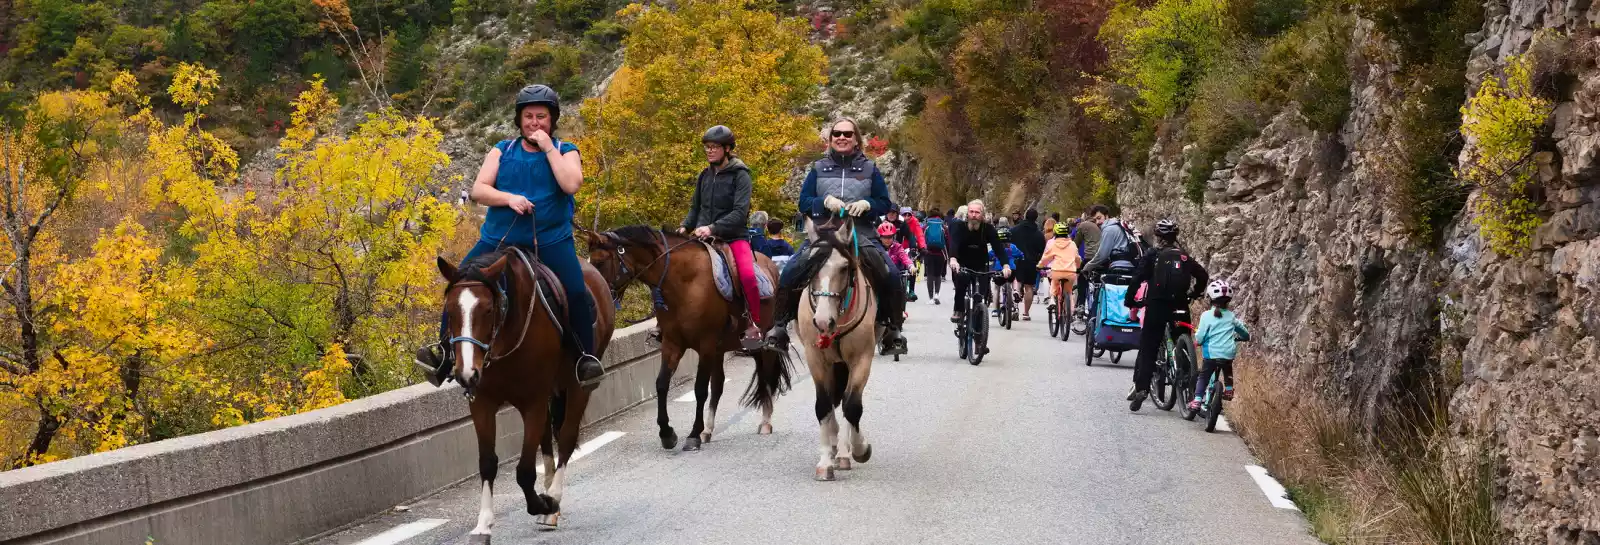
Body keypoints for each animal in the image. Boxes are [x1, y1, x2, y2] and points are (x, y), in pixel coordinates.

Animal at [435, 246, 615, 542]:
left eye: (487, 309)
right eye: (449, 311)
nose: (466, 373)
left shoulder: (533, 402)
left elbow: (524, 471)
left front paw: (543, 503)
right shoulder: (482, 403)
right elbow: (488, 463)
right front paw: (483, 524)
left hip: (578, 386)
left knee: (566, 438)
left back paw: (553, 498)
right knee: (546, 440)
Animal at [583, 225, 792, 452]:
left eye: (600, 262)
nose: (598, 296)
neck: (683, 282)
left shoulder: (706, 344)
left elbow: (700, 389)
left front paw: (692, 435)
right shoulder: (673, 344)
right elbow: (662, 384)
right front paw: (667, 434)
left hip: (763, 345)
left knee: (766, 377)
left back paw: (765, 422)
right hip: (720, 350)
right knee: (718, 386)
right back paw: (708, 430)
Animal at [797, 219, 877, 481]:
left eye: (843, 268)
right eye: (810, 268)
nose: (823, 322)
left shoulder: (862, 359)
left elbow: (852, 406)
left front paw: (859, 448)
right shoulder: (816, 359)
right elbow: (823, 405)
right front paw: (825, 463)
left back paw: (844, 451)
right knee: (833, 401)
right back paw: (834, 447)